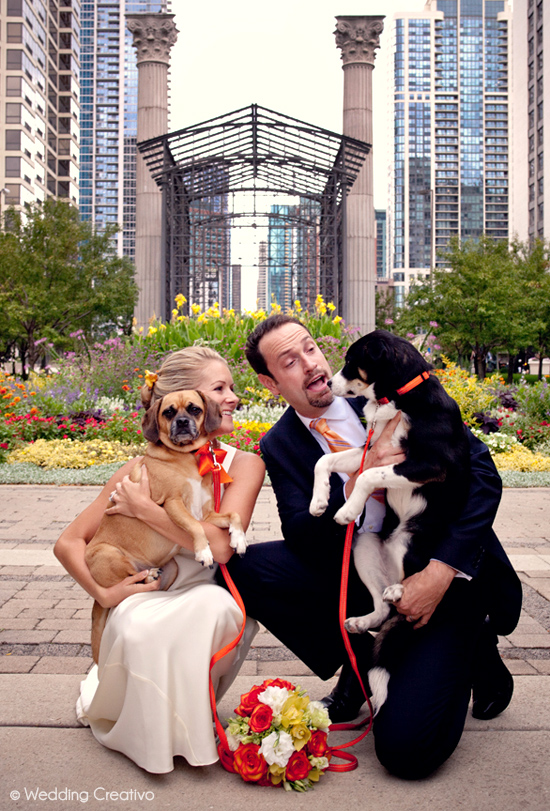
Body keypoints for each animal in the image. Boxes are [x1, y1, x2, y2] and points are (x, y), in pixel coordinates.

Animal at [85, 390, 247, 664]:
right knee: (129, 581)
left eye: (194, 409)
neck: (188, 456)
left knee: (140, 588)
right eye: (168, 412)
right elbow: (195, 528)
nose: (181, 422)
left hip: (171, 569)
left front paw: (239, 539)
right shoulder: (173, 505)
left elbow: (234, 515)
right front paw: (204, 552)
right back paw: (147, 574)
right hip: (108, 554)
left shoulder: (207, 514)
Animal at [308, 330, 472, 712]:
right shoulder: (370, 449)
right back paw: (360, 620)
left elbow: (369, 476)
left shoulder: (429, 464)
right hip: (364, 545)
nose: (328, 383)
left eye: (351, 361)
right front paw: (319, 500)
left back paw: (401, 590)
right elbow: (325, 462)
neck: (400, 396)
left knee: (412, 593)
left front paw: (346, 510)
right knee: (383, 608)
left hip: (406, 541)